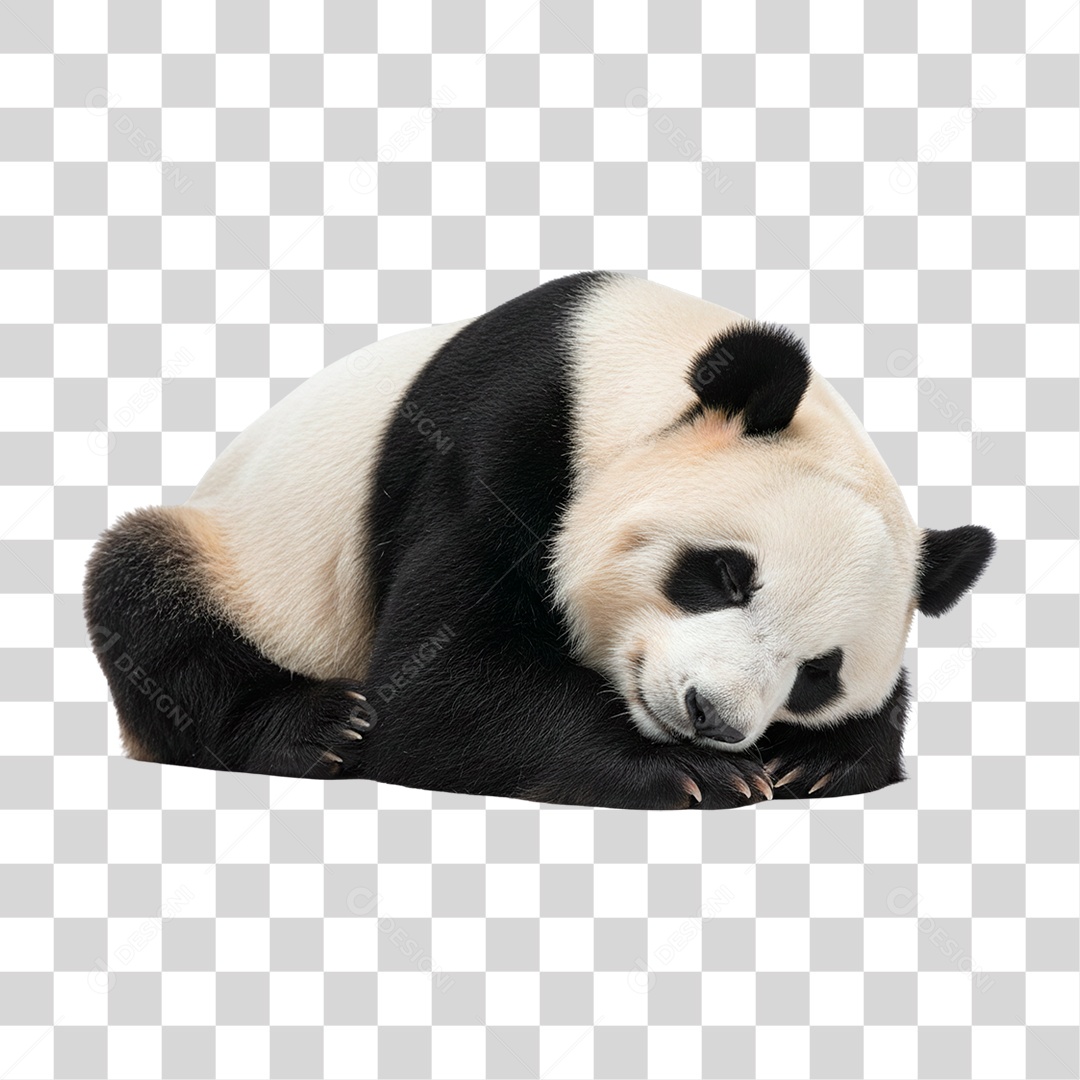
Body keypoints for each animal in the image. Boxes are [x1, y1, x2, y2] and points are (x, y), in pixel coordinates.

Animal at [84, 272, 994, 809]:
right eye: (726, 575)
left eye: (818, 673)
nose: (713, 717)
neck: (619, 365)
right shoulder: (496, 439)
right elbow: (437, 686)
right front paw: (696, 774)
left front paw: (816, 759)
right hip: (240, 546)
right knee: (144, 593)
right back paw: (317, 724)